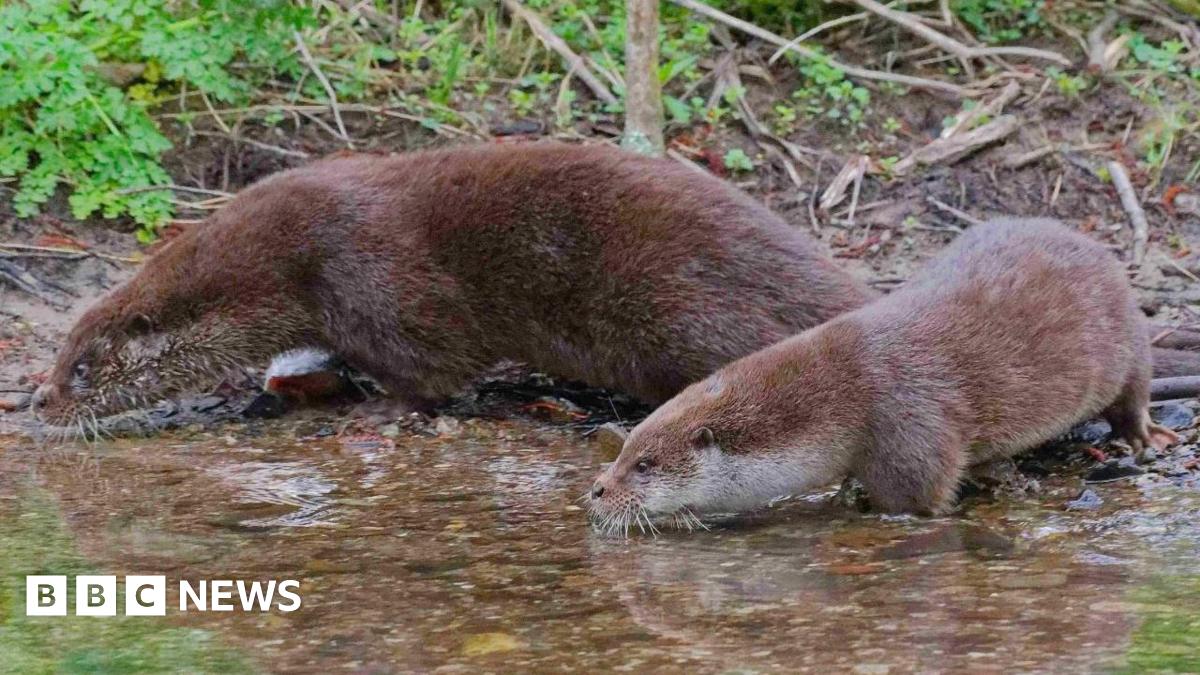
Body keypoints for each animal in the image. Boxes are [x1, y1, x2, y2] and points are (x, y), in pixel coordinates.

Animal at [31, 142, 874, 430]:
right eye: (59, 358)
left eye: (82, 368)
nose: (40, 401)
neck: (276, 262)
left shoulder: (367, 272)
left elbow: (435, 360)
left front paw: (380, 410)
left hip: (681, 305)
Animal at [589, 218, 1179, 528]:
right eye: (625, 450)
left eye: (644, 465)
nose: (596, 491)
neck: (844, 393)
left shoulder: (906, 422)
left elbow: (918, 497)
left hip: (1125, 337)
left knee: (1135, 388)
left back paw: (1142, 435)